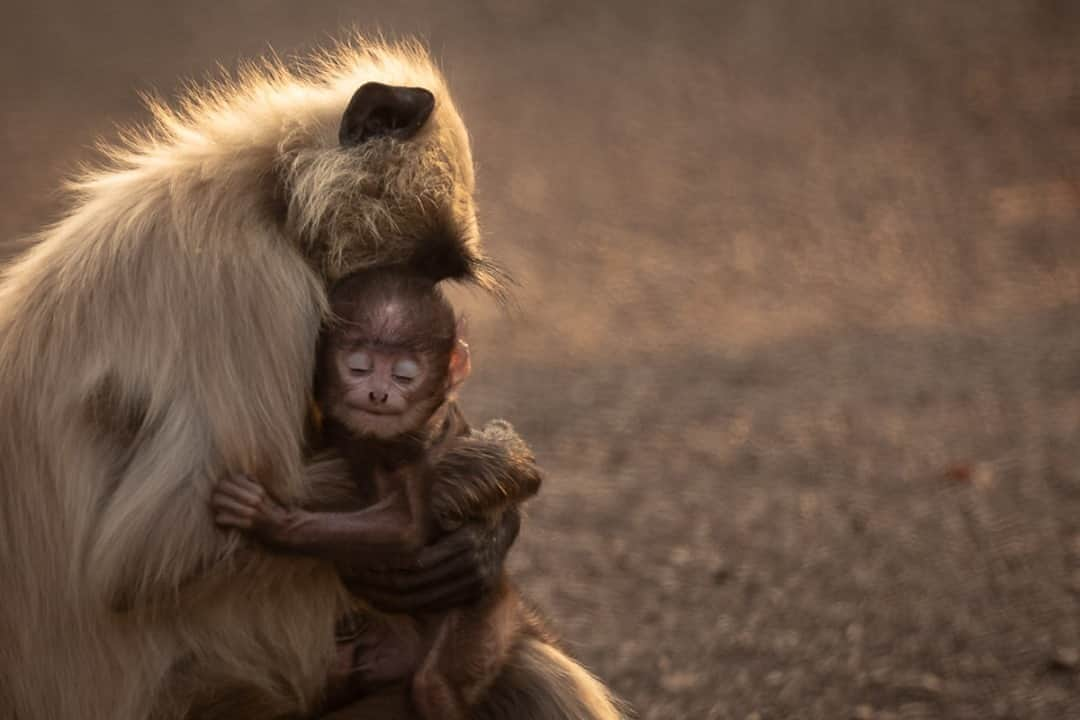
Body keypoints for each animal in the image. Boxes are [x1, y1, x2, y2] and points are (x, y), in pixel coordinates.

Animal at [211, 266, 540, 720]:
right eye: (359, 368)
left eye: (404, 374)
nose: (379, 393)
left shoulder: (422, 440)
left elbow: (407, 528)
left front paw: (266, 518)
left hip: (487, 617)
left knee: (433, 685)